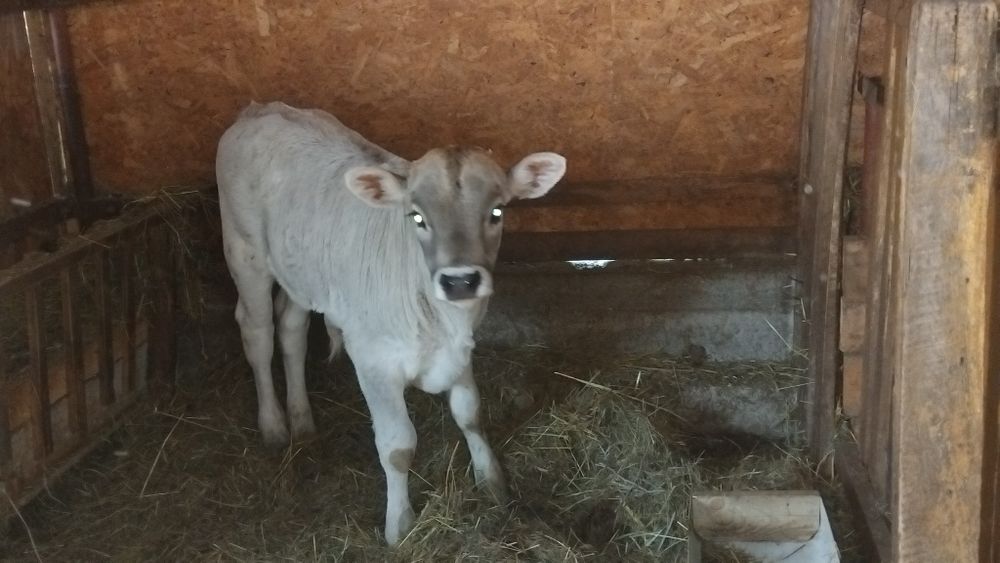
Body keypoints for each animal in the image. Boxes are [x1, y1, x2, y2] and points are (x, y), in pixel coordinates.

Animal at [215, 101, 566, 544]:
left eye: (496, 212)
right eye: (416, 217)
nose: (460, 280)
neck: (439, 319)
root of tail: (259, 109)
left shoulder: (460, 347)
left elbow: (470, 413)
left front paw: (492, 484)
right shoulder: (373, 360)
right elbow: (398, 446)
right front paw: (400, 525)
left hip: (301, 274)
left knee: (292, 331)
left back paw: (302, 420)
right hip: (245, 255)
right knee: (257, 333)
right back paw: (275, 425)